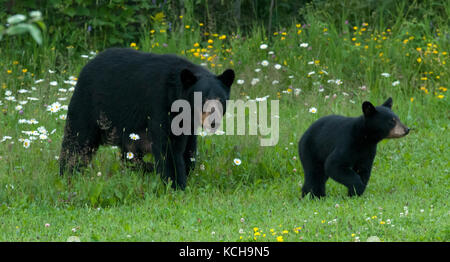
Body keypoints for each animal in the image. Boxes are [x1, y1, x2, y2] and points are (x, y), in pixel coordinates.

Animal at [59, 48, 236, 189]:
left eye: (220, 100)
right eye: (202, 99)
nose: (213, 122)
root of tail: (86, 66)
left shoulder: (188, 123)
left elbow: (189, 147)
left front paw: (186, 170)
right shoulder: (161, 104)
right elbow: (168, 146)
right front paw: (176, 183)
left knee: (128, 154)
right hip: (90, 106)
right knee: (77, 142)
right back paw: (68, 173)